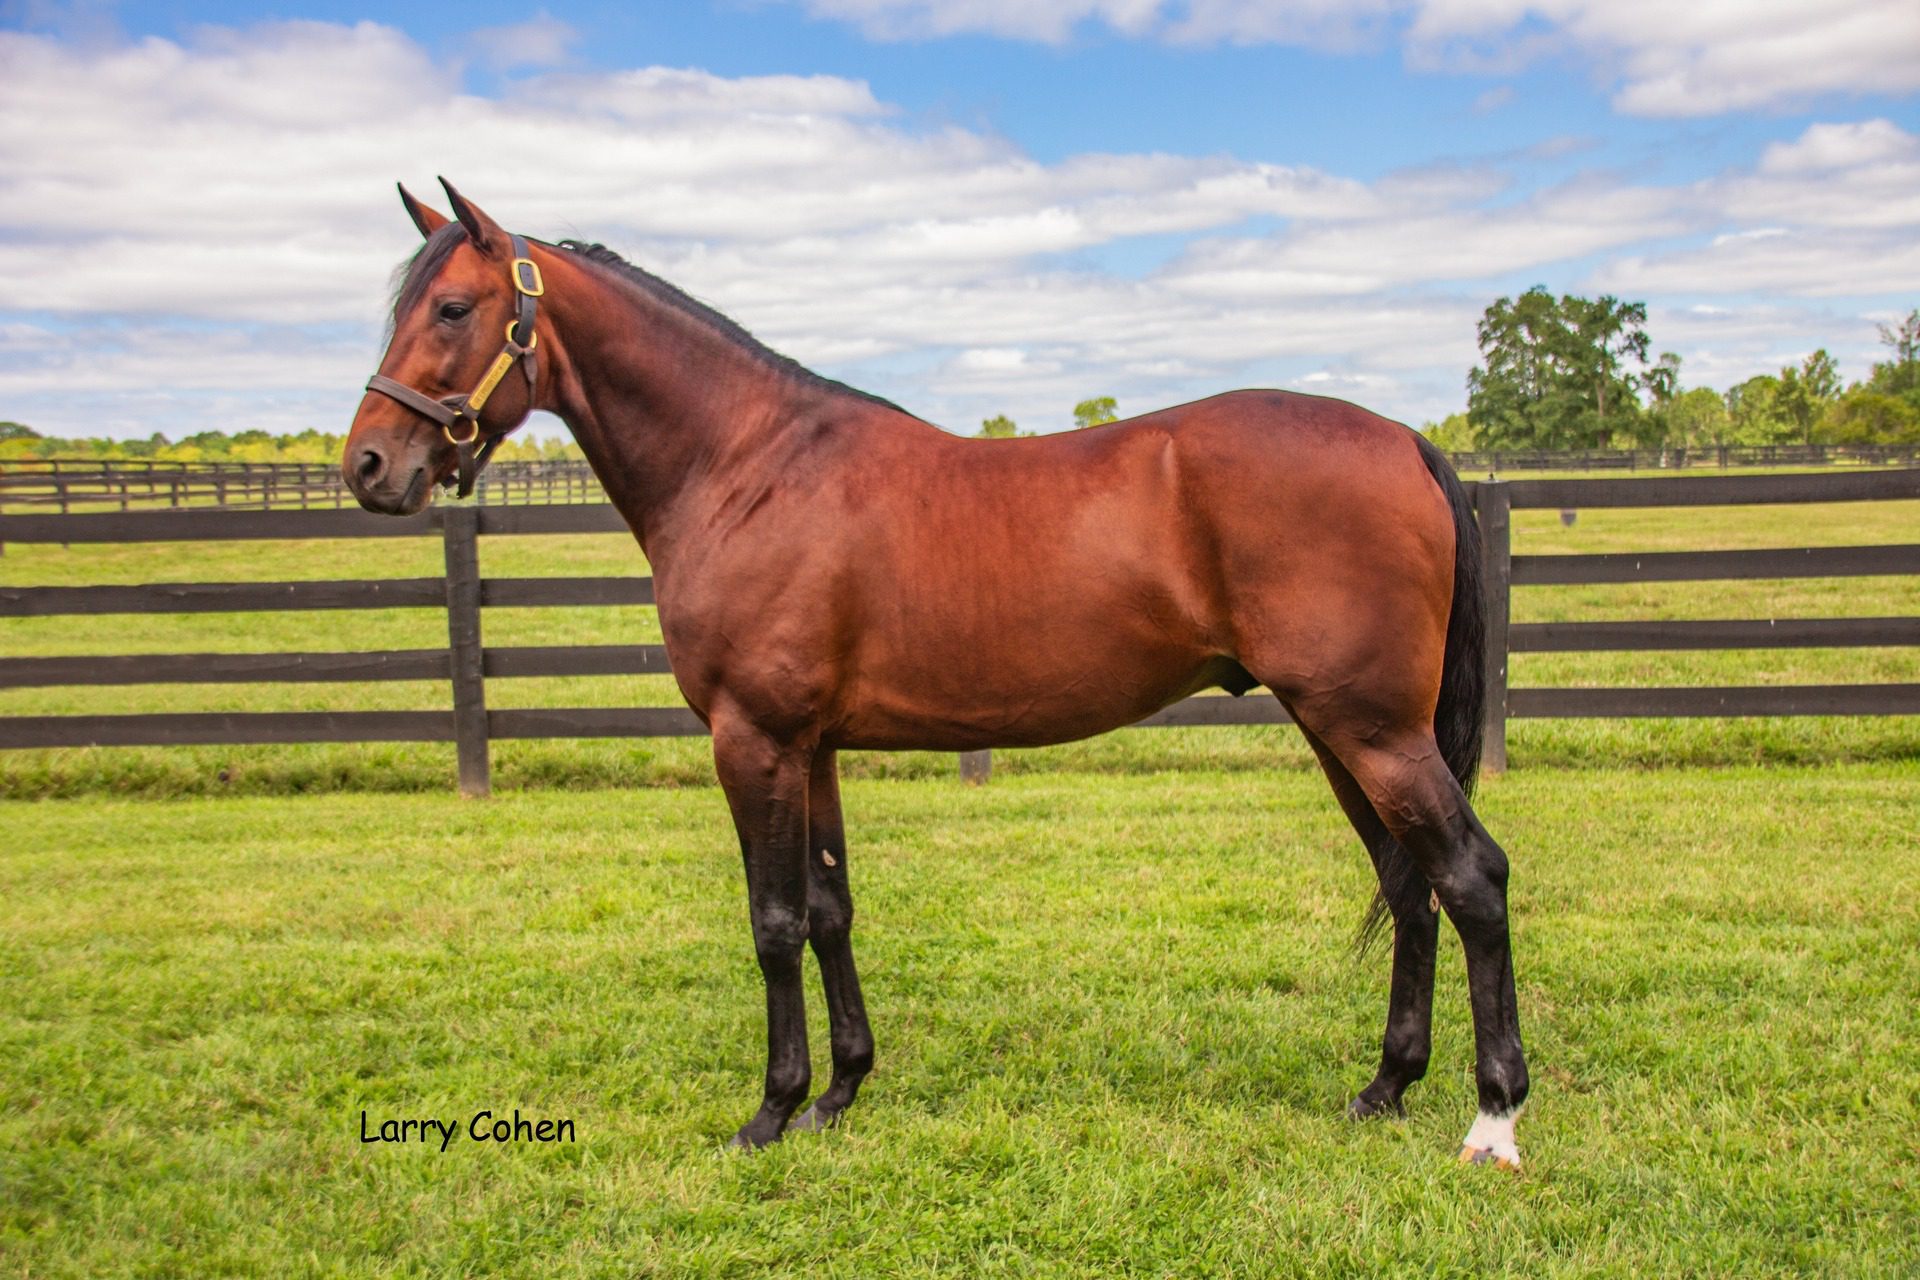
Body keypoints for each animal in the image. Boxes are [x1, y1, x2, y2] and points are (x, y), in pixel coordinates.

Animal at [342, 181, 1530, 1169]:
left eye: (452, 308)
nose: (369, 466)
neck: (748, 467)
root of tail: (1406, 440)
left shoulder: (752, 738)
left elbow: (773, 919)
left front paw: (770, 1111)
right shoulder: (811, 745)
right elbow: (830, 907)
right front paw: (839, 1094)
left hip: (1373, 729)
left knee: (1471, 876)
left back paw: (1493, 1116)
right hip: (1342, 730)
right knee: (1410, 885)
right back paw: (1384, 1086)